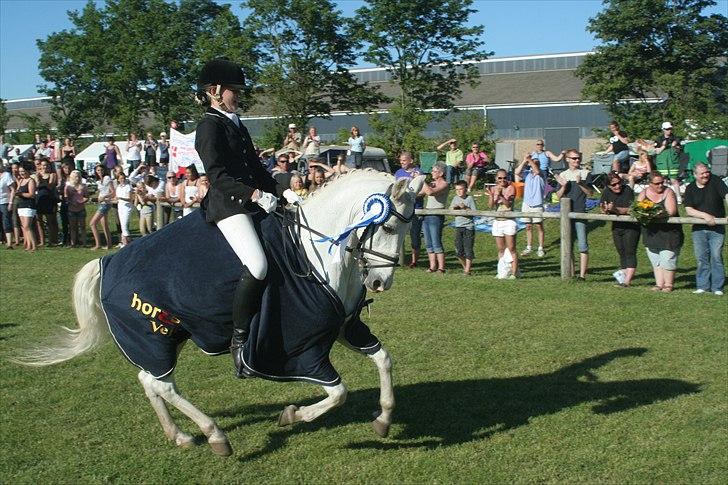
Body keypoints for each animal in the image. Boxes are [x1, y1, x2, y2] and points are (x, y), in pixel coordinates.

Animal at [14, 169, 426, 456]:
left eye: (410, 227)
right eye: (389, 226)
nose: (380, 283)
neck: (315, 250)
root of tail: (108, 262)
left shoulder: (343, 326)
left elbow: (384, 359)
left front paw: (383, 419)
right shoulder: (299, 348)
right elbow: (338, 392)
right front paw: (292, 415)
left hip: (170, 333)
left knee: (150, 381)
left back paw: (180, 436)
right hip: (154, 334)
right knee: (162, 384)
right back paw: (215, 435)